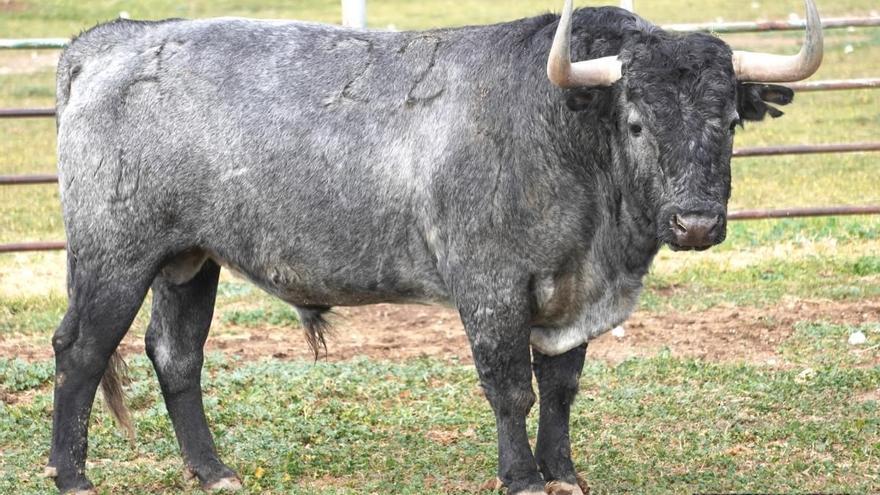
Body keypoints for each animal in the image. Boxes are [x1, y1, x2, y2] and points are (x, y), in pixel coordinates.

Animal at [44, 1, 820, 494]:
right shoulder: (490, 284)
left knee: (177, 354)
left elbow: (560, 387)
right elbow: (510, 387)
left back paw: (213, 471)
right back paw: (73, 474)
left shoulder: (570, 294)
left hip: (188, 258)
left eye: (729, 121)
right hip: (115, 253)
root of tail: (112, 41)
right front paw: (522, 477)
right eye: (634, 121)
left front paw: (564, 473)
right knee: (81, 350)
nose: (696, 223)